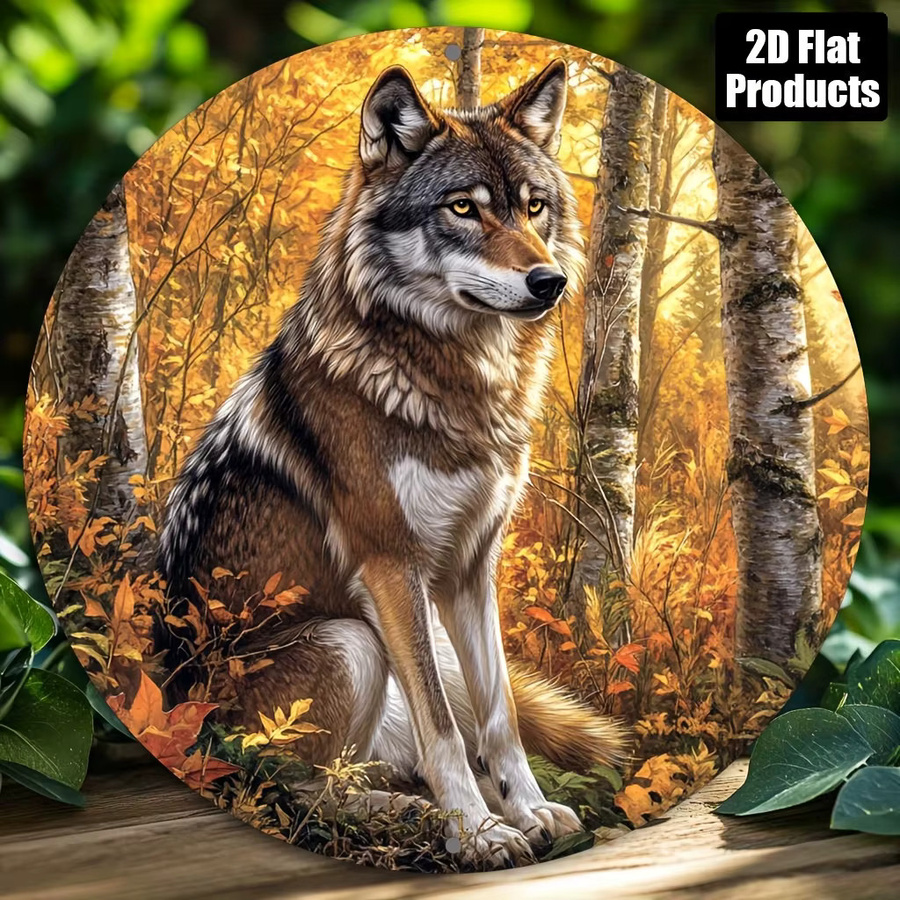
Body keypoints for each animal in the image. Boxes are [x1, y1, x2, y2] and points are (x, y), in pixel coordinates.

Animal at [159, 59, 626, 866]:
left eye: (534, 207)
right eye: (464, 208)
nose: (550, 283)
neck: (456, 384)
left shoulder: (470, 568)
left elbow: (498, 714)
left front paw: (529, 812)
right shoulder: (392, 566)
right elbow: (446, 731)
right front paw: (477, 833)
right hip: (352, 640)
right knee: (292, 785)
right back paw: (406, 816)